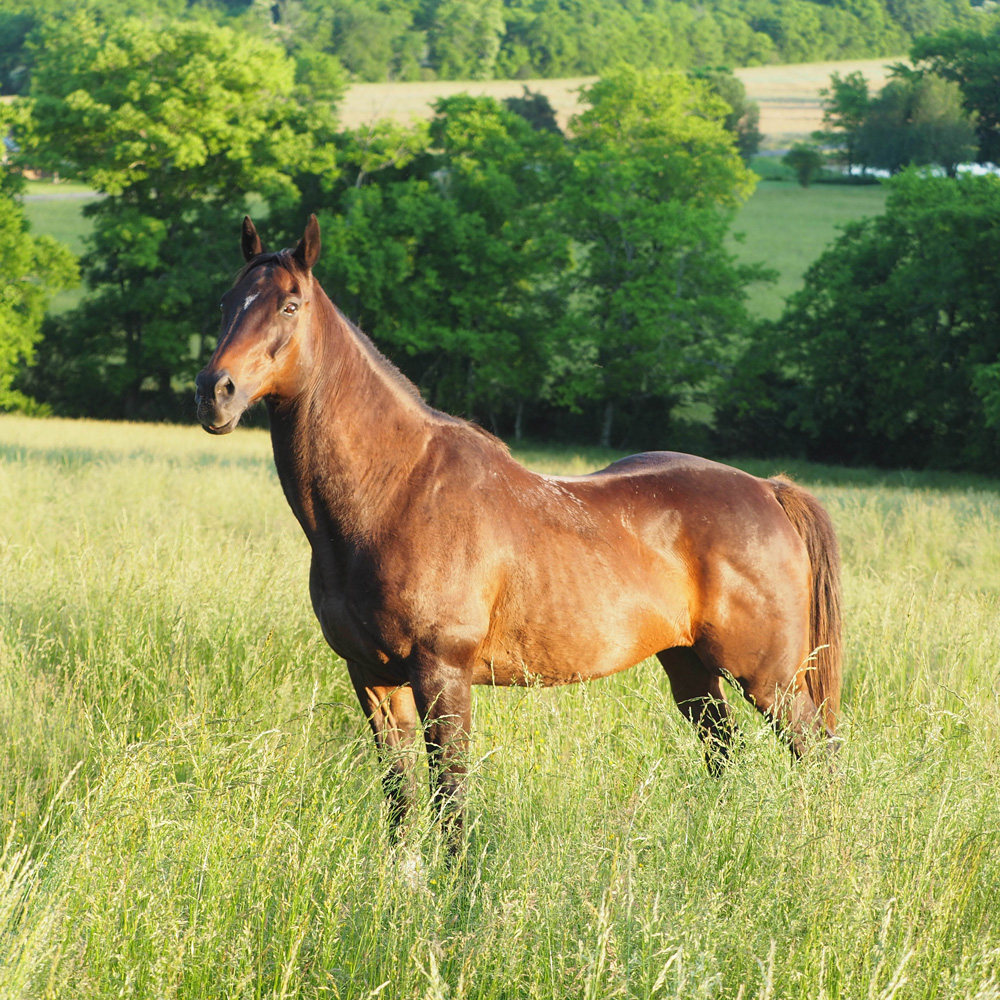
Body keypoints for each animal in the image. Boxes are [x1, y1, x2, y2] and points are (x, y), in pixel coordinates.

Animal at [195, 219, 844, 844]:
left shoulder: (443, 675)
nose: (213, 392)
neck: (395, 490)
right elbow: (401, 802)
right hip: (690, 666)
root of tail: (767, 489)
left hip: (771, 680)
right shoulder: (374, 679)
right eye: (226, 300)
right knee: (724, 753)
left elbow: (451, 800)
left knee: (817, 758)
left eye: (289, 305)